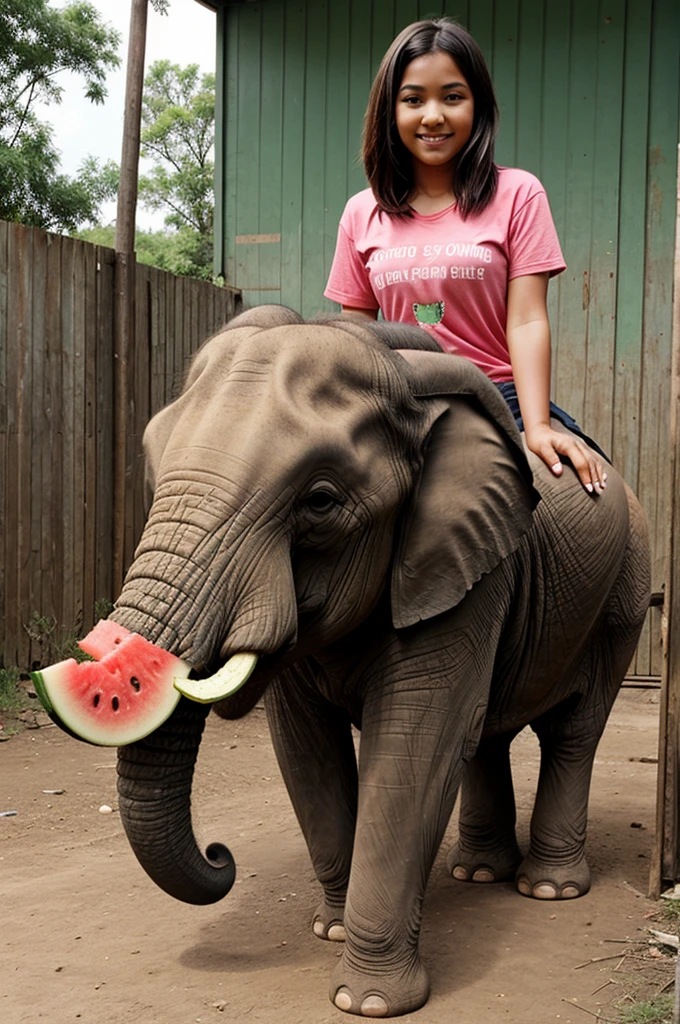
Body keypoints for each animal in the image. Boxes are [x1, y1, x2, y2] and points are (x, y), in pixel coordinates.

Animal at [112, 301, 655, 1015]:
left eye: (319, 502)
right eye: (151, 473)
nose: (220, 855)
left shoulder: (466, 565)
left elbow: (414, 747)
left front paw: (367, 1002)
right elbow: (306, 751)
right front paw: (330, 930)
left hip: (625, 592)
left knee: (574, 730)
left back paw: (548, 889)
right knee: (485, 736)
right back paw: (477, 873)